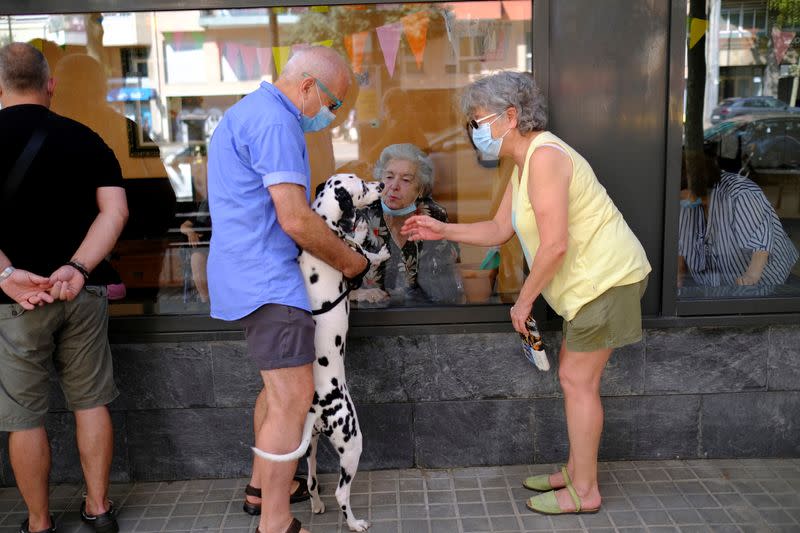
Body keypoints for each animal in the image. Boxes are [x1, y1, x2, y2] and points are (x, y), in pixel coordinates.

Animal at [250, 174, 388, 528]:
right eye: (362, 187)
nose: (381, 185)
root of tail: (317, 407)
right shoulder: (352, 254)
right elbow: (364, 251)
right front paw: (374, 245)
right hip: (352, 443)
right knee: (341, 492)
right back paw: (354, 523)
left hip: (310, 446)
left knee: (312, 481)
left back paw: (315, 506)